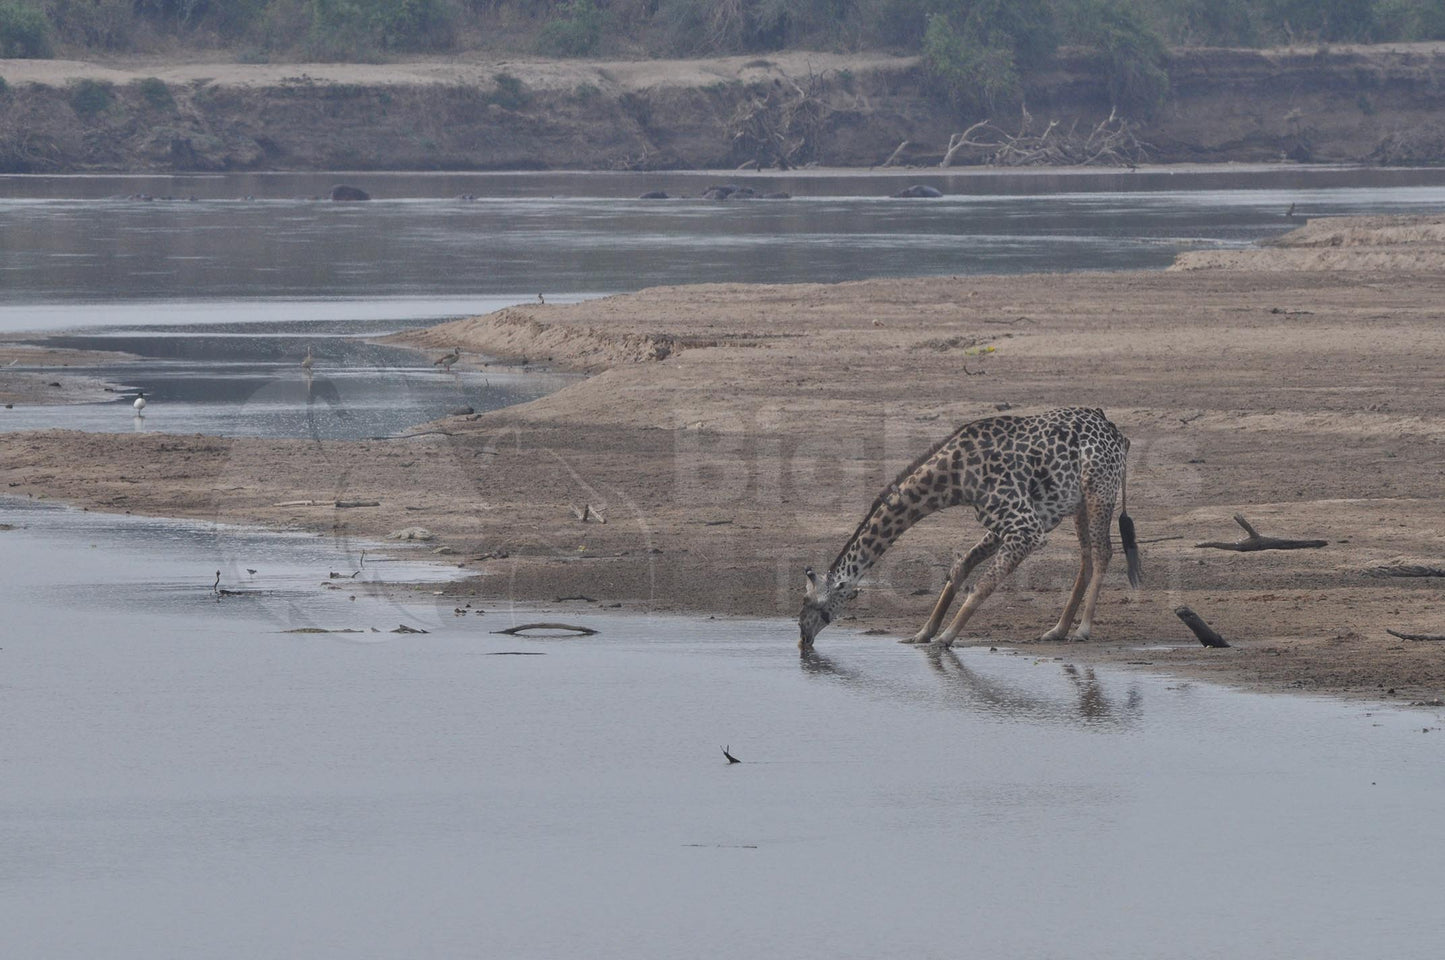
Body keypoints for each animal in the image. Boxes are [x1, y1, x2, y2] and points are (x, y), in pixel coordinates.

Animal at [797, 407, 1132, 647]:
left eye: (813, 604)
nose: (803, 638)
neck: (954, 478)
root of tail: (1117, 433)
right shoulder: (1001, 525)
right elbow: (959, 570)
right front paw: (923, 633)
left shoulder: (1026, 528)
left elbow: (983, 584)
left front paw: (945, 637)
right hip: (1079, 503)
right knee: (1086, 558)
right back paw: (1058, 630)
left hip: (1100, 490)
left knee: (1103, 552)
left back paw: (1082, 630)